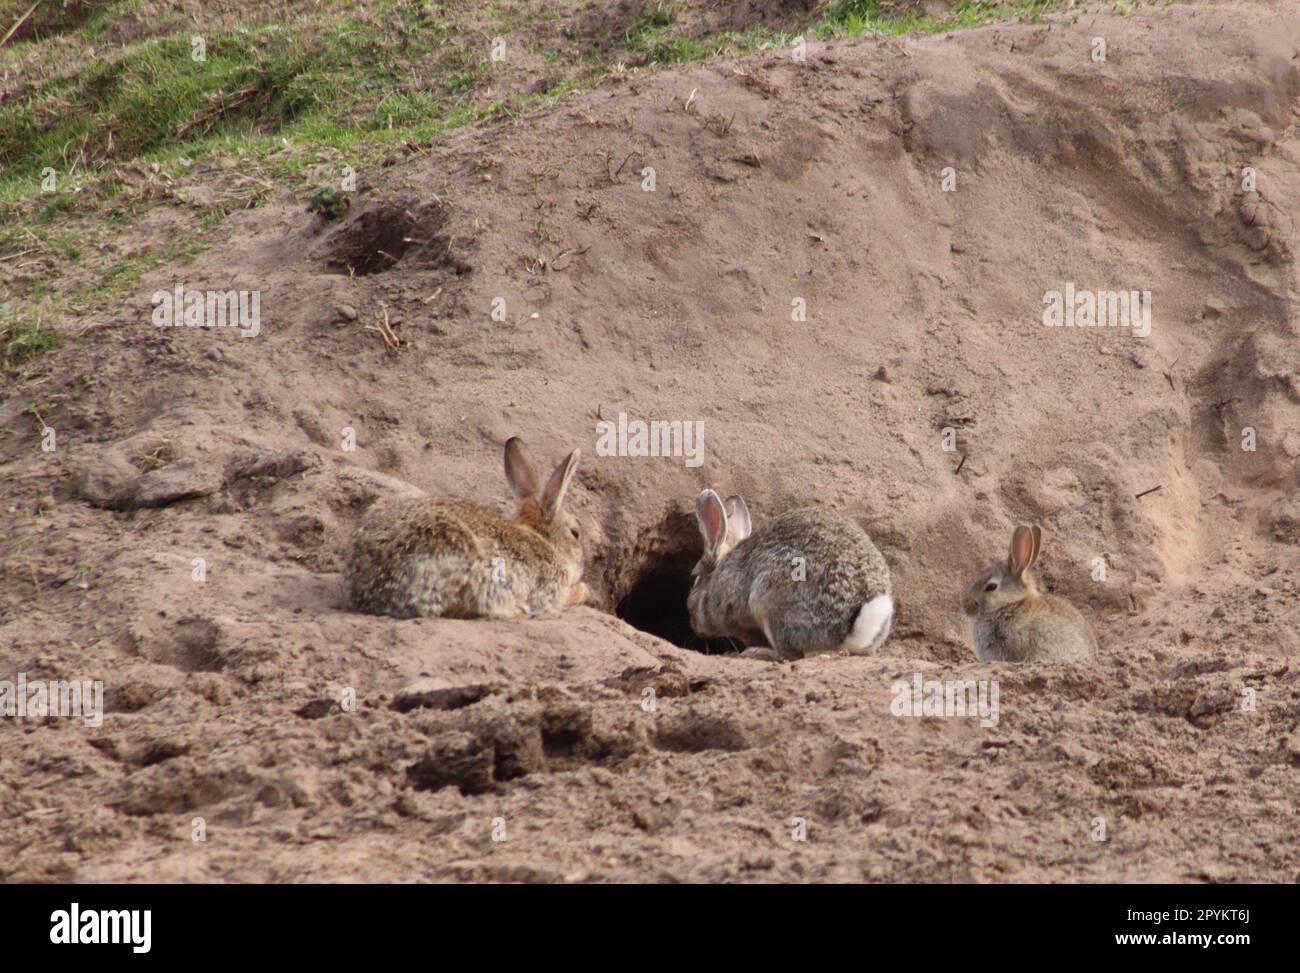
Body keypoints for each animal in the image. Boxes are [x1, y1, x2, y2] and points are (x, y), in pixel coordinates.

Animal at [688, 490, 894, 661]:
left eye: (694, 576)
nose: (693, 624)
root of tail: (849, 629)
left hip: (768, 601)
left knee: (790, 655)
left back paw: (758, 653)